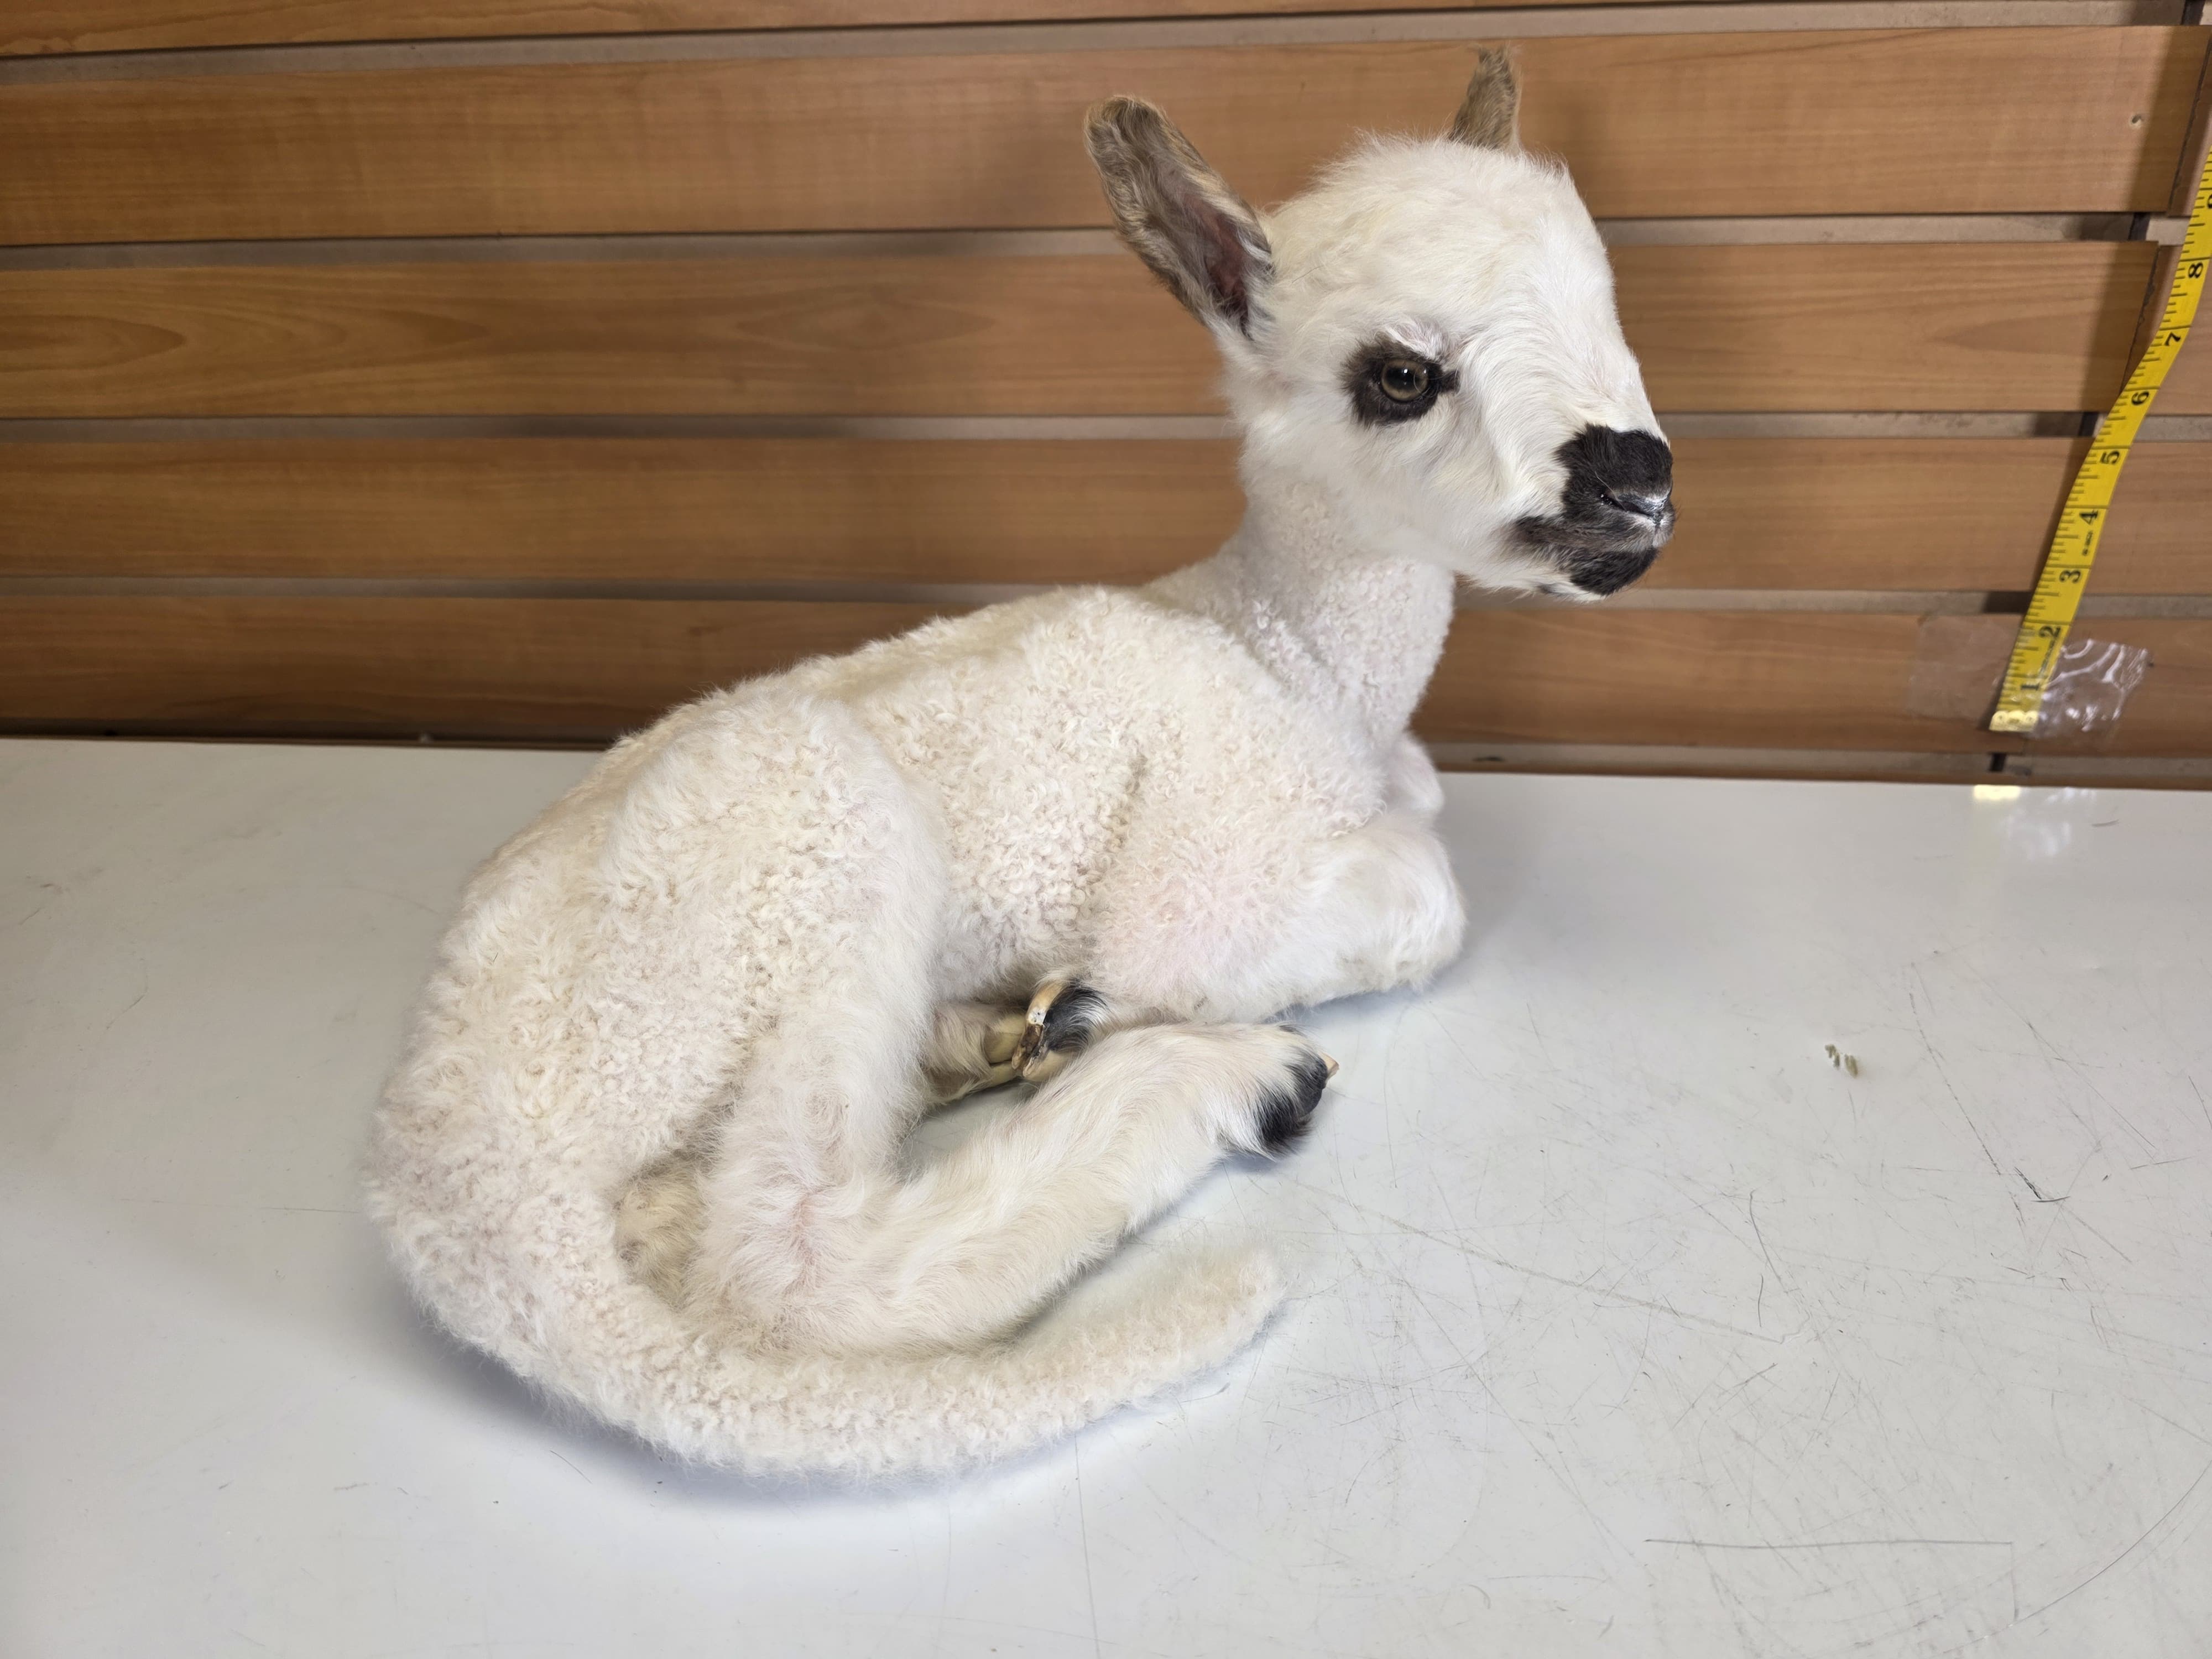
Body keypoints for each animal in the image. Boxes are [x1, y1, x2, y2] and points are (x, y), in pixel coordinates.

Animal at [365, 51, 1674, 1479]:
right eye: (1396, 375)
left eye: (1603, 301)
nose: (1636, 479)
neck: (1291, 658)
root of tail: (442, 1169)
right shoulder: (1203, 871)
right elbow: (1414, 902)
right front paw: (1157, 1016)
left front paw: (1065, 1014)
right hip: (802, 851)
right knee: (785, 1261)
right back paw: (1217, 1082)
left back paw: (1002, 1038)